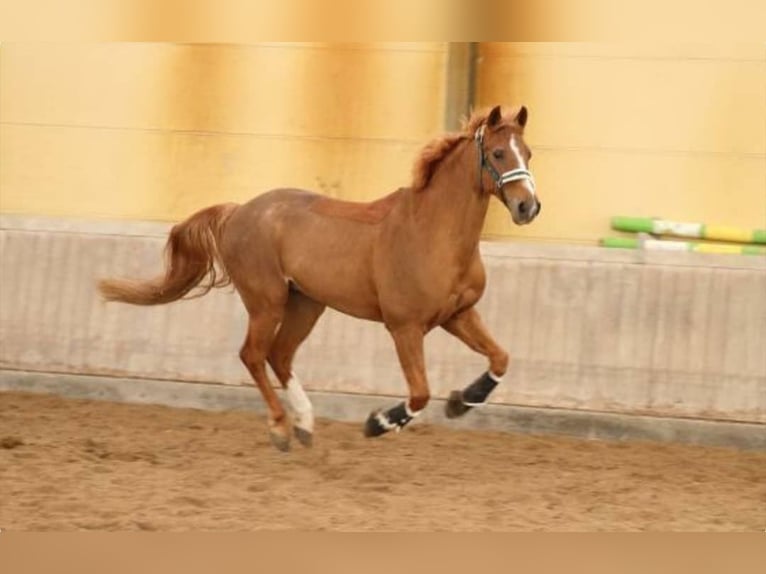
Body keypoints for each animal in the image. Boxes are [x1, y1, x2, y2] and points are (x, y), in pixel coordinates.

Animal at [100, 106, 540, 452]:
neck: (434, 233)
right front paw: (378, 423)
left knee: (280, 355)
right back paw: (282, 429)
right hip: (267, 302)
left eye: (529, 153)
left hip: (307, 303)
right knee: (253, 355)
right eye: (498, 152)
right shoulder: (405, 327)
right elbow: (419, 393)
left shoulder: (458, 314)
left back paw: (306, 425)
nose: (528, 207)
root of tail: (239, 211)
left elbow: (500, 357)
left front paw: (462, 401)